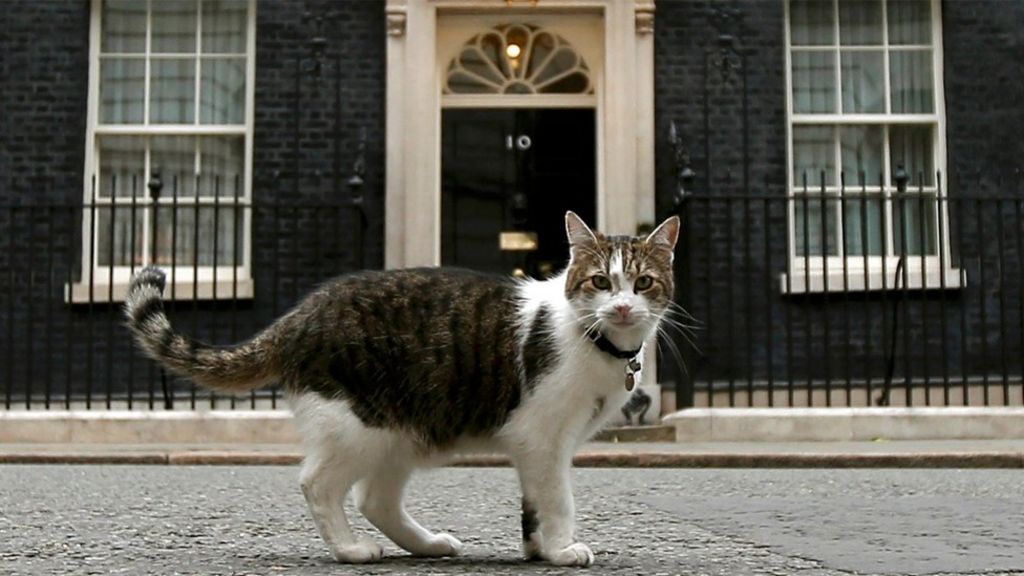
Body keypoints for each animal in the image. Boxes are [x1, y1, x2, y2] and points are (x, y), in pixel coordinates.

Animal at [123, 211, 675, 565]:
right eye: (600, 282)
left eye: (643, 284)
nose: (622, 307)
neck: (598, 342)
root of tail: (300, 316)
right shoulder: (541, 437)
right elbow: (558, 498)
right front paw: (562, 550)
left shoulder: (537, 447)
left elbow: (534, 502)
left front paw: (538, 549)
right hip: (359, 425)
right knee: (319, 484)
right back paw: (350, 550)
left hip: (400, 432)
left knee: (375, 500)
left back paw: (427, 545)